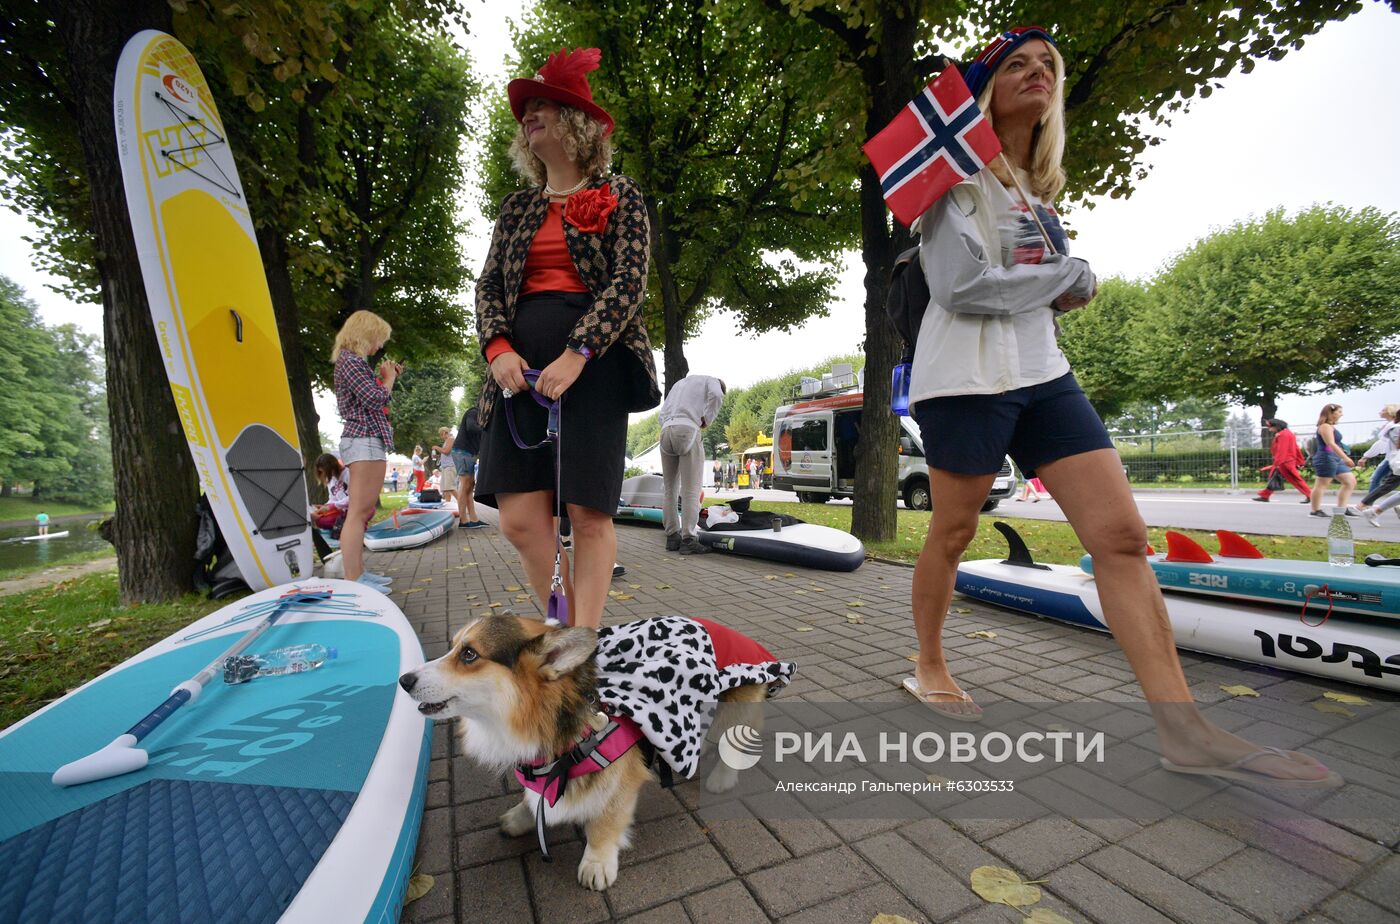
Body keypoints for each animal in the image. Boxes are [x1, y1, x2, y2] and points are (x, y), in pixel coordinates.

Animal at [400, 616, 772, 890]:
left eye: (469, 655)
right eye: (452, 648)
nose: (403, 680)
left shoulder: (620, 780)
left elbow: (604, 825)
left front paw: (597, 864)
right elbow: (532, 797)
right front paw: (520, 818)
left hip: (736, 701)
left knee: (736, 739)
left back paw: (721, 778)